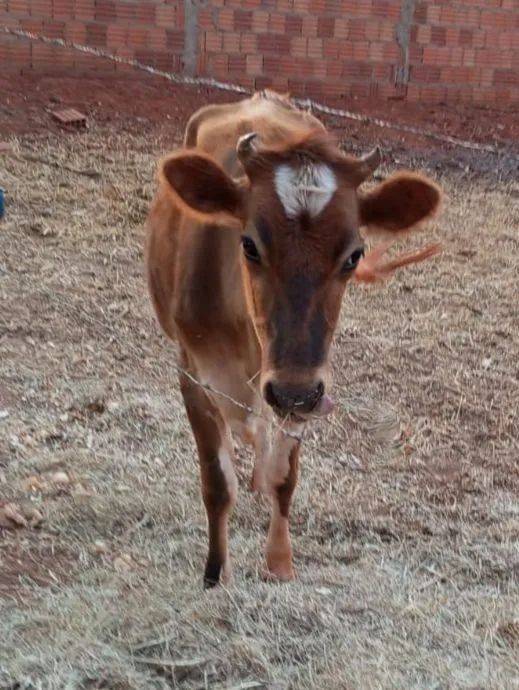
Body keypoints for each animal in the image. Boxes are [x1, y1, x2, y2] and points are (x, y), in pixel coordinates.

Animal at [145, 90, 442, 588]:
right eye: (248, 244)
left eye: (354, 255)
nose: (289, 391)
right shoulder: (192, 371)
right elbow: (216, 481)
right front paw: (216, 573)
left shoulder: (308, 385)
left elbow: (285, 477)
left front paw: (279, 561)